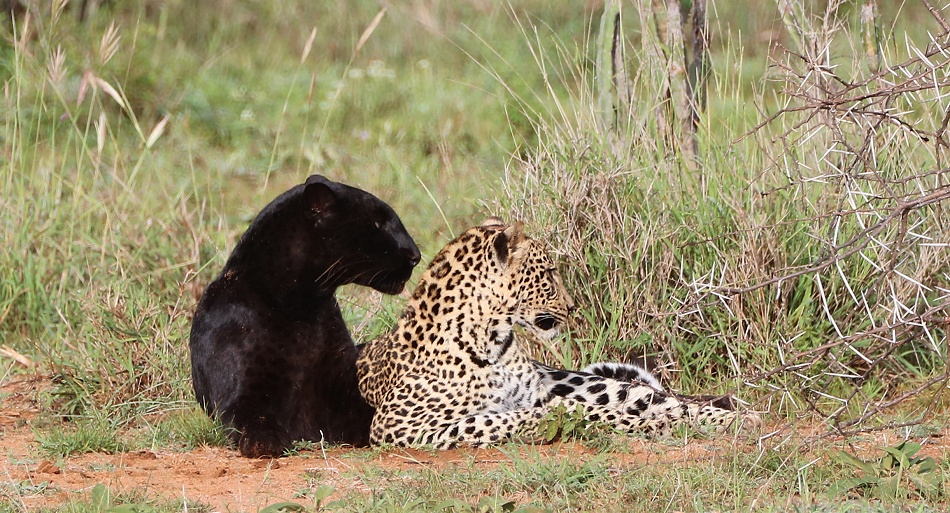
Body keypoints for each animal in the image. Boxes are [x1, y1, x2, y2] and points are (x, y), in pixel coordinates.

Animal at [356, 218, 757, 448]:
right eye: (549, 272)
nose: (572, 306)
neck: (492, 340)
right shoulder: (398, 425)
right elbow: (493, 418)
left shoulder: (539, 392)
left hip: (574, 379)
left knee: (654, 397)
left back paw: (734, 416)